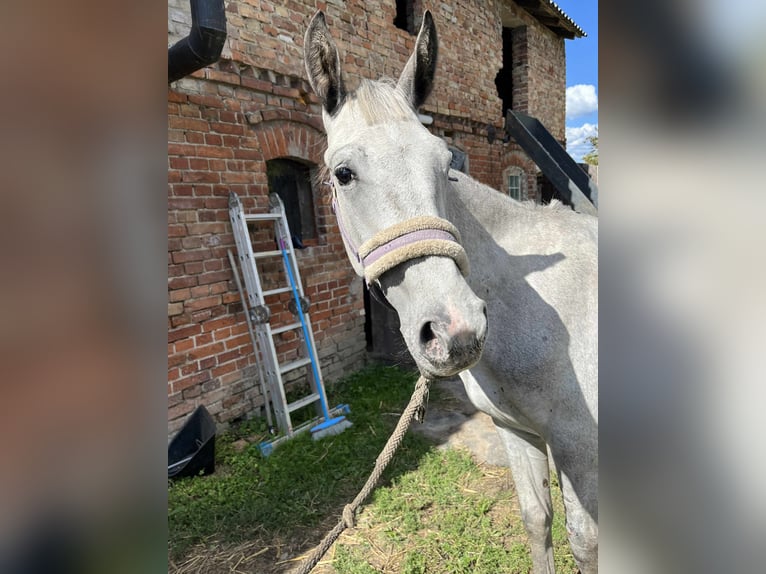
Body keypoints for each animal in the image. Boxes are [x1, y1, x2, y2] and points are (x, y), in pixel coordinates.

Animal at [304, 11, 598, 573]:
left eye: (445, 164)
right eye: (343, 174)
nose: (455, 332)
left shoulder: (581, 449)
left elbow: (585, 543)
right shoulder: (516, 432)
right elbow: (537, 520)